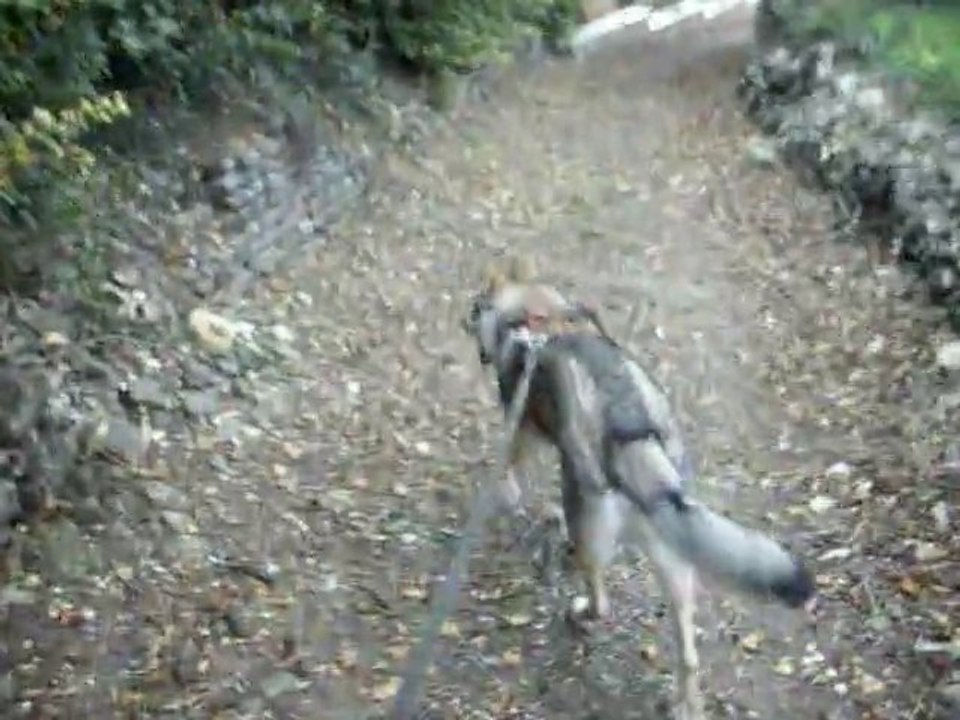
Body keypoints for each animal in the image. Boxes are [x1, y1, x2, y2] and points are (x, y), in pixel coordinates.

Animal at [463, 257, 815, 720]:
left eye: (474, 306)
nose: (462, 319)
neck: (535, 316)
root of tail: (634, 435)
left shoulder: (523, 431)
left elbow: (512, 475)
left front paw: (514, 501)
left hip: (594, 529)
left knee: (601, 601)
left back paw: (581, 611)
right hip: (676, 559)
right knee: (689, 655)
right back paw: (686, 705)